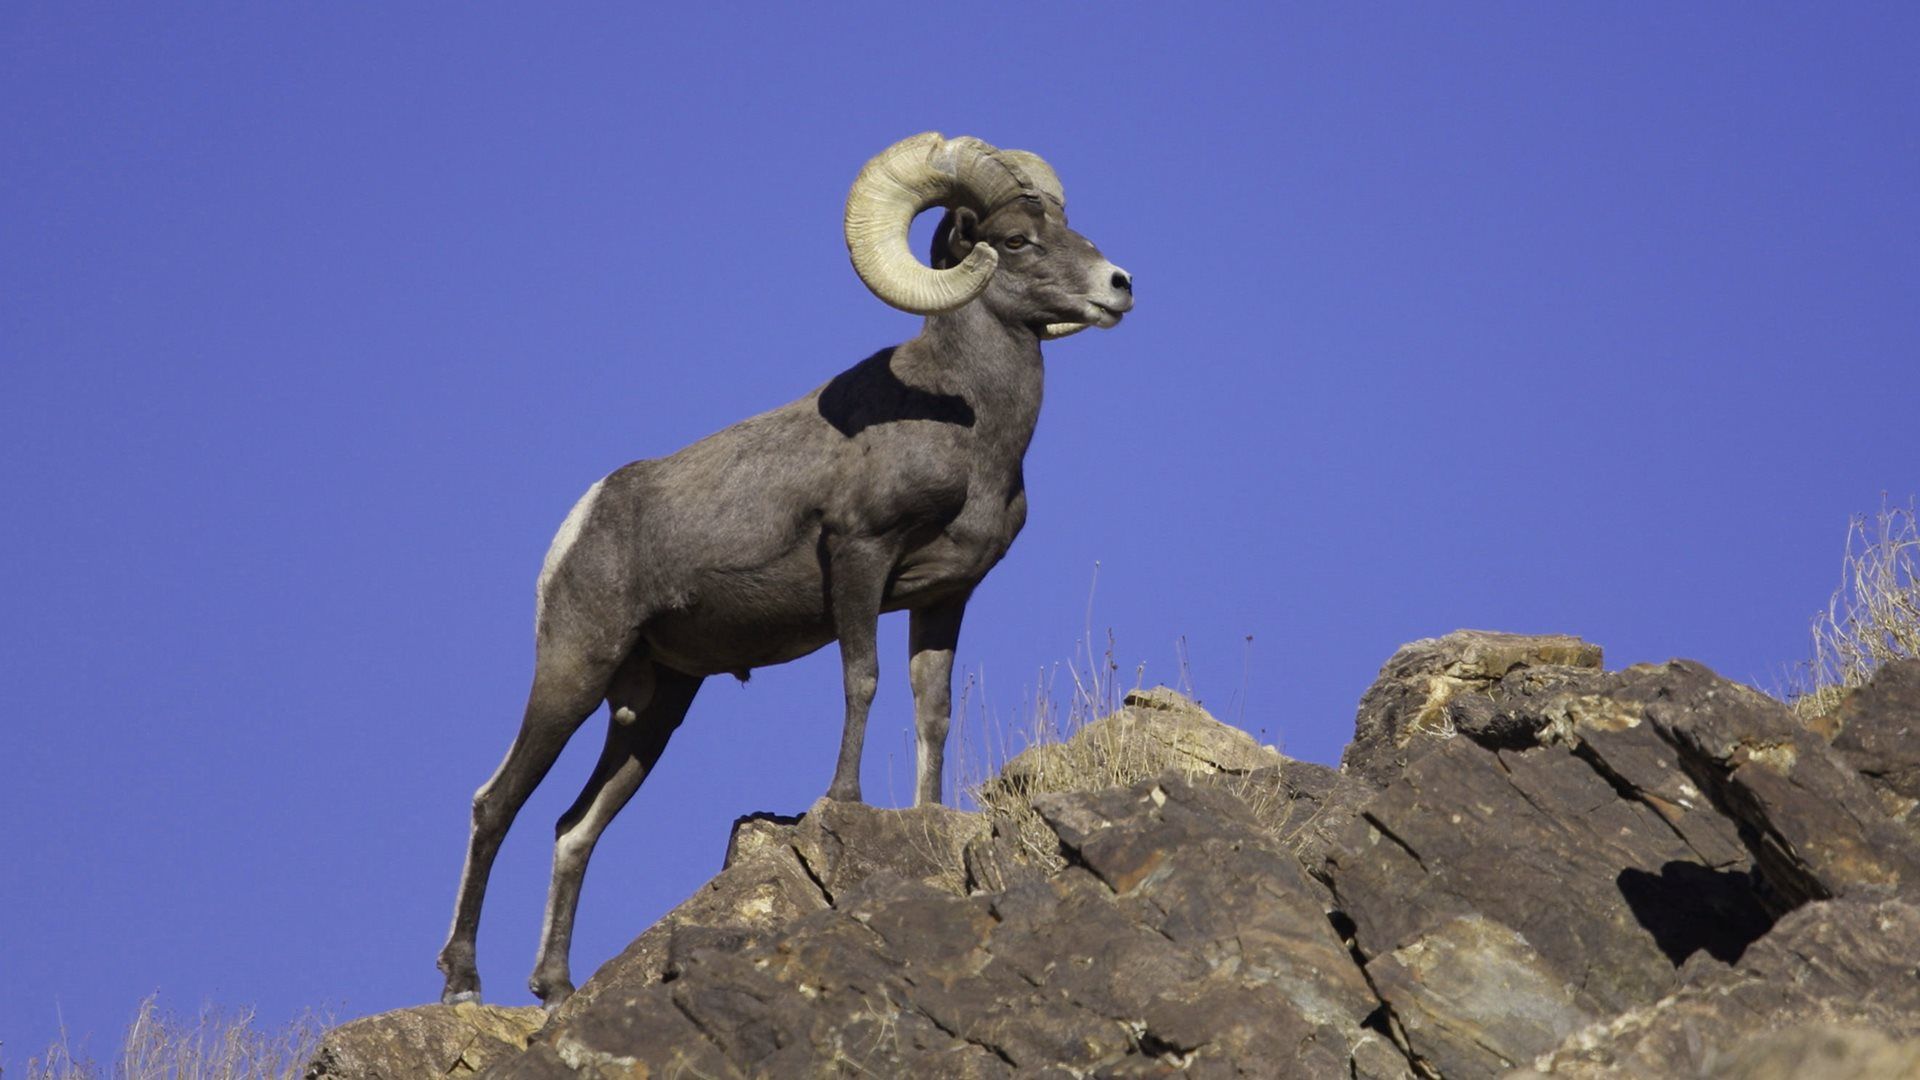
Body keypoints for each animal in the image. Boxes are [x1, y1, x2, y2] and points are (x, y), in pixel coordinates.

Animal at [437, 132, 1134, 1007]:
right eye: (1014, 240)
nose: (1119, 286)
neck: (972, 427)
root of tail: (584, 517)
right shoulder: (861, 558)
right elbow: (863, 680)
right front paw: (843, 800)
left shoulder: (945, 598)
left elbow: (932, 708)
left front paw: (927, 811)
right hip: (575, 670)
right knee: (494, 804)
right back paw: (463, 982)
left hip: (657, 705)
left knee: (575, 827)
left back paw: (555, 986)